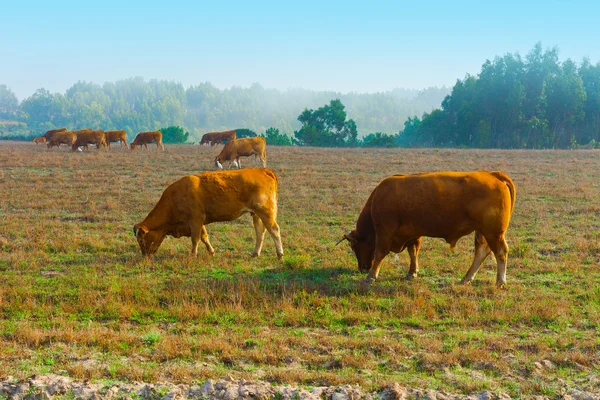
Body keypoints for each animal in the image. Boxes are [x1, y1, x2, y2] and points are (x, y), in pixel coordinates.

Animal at [134, 168, 284, 260]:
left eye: (141, 240)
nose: (144, 256)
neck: (175, 197)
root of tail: (263, 170)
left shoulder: (195, 220)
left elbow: (195, 239)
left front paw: (193, 255)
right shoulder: (199, 221)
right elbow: (204, 237)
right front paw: (211, 251)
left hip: (265, 212)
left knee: (274, 230)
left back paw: (280, 254)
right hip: (256, 214)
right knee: (260, 232)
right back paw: (255, 253)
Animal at [340, 170, 516, 286]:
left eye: (354, 246)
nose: (362, 268)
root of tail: (492, 175)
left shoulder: (385, 232)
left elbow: (379, 253)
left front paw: (371, 275)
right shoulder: (413, 234)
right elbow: (413, 252)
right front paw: (412, 272)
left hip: (493, 233)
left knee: (500, 252)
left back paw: (500, 281)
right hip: (483, 232)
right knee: (481, 252)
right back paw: (466, 278)